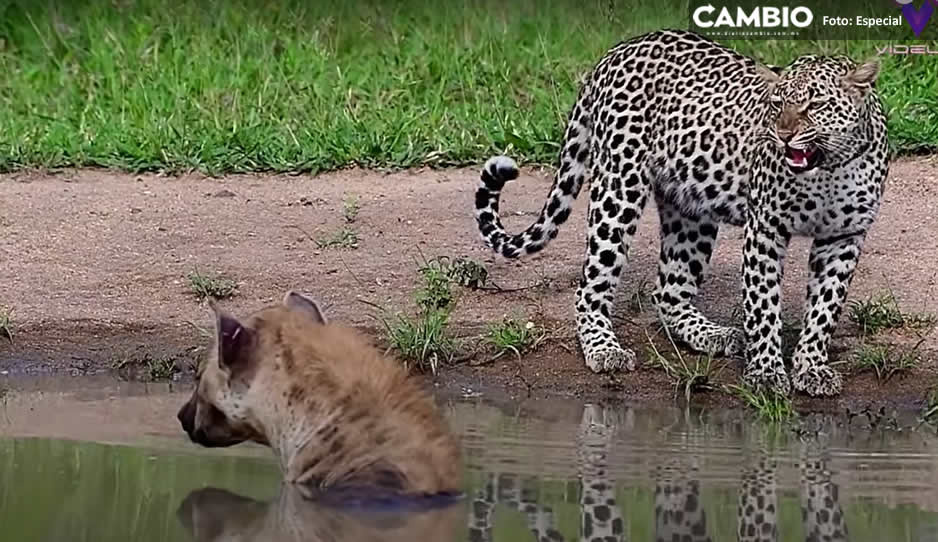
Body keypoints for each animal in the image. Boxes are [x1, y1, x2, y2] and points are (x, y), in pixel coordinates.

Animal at [473, 28, 889, 396]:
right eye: (776, 105)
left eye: (815, 105)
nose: (783, 135)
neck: (828, 169)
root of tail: (615, 52)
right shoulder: (766, 228)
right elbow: (764, 304)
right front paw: (767, 373)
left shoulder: (843, 236)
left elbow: (825, 307)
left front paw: (812, 368)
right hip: (618, 189)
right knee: (591, 286)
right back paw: (604, 349)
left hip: (691, 208)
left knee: (669, 290)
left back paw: (713, 335)